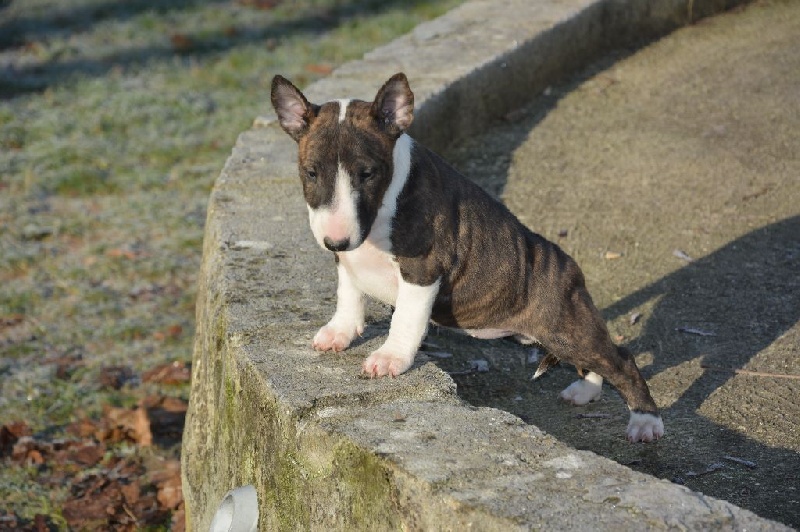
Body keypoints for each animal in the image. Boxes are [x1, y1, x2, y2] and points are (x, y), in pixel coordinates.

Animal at [268, 72, 664, 442]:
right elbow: (348, 292)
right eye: (311, 172)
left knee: (620, 359)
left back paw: (645, 422)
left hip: (565, 326)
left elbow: (406, 319)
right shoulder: (349, 262)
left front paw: (390, 357)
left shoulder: (423, 268)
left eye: (367, 174)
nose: (336, 240)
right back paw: (586, 389)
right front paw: (340, 332)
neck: (385, 204)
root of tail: (572, 269)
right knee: (595, 360)